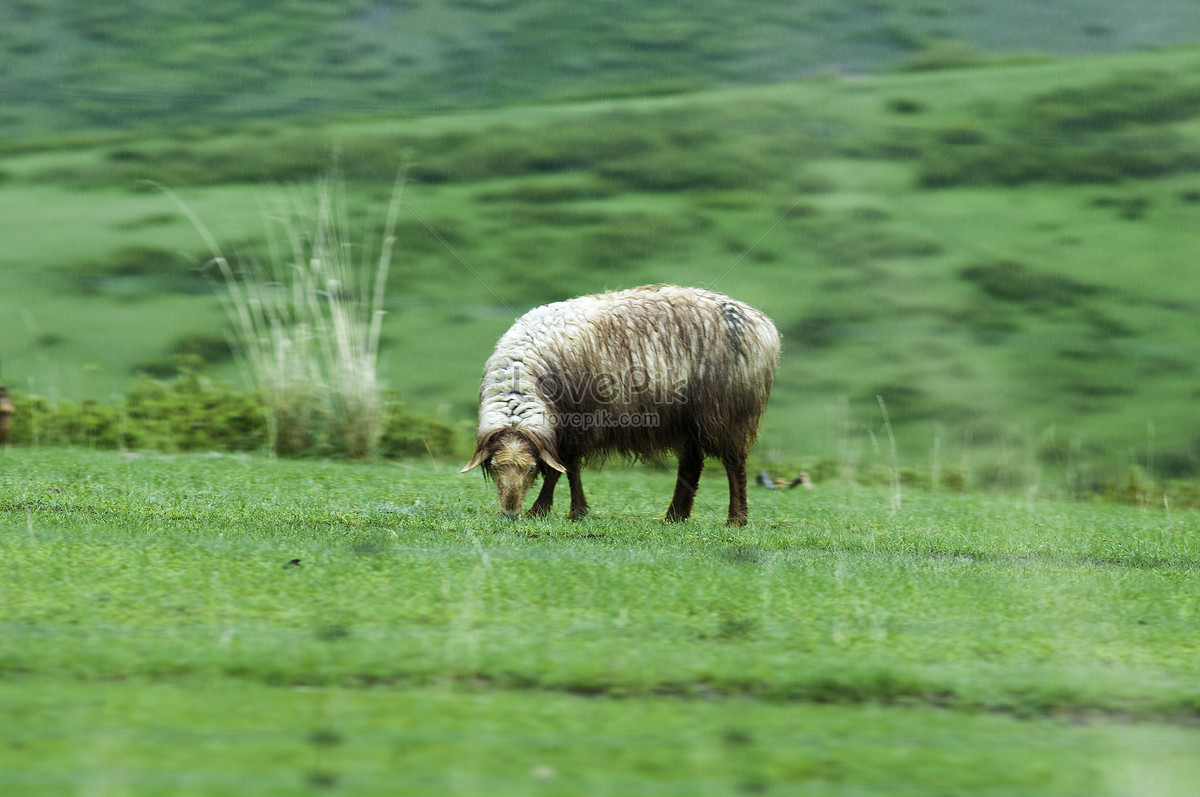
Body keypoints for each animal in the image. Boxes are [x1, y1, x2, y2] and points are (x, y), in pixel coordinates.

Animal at [458, 283, 777, 525]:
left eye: (529, 469)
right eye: (495, 468)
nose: (509, 514)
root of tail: (761, 323)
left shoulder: (575, 422)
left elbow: (561, 470)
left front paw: (545, 510)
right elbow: (569, 469)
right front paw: (573, 511)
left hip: (727, 411)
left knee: (735, 464)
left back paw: (736, 519)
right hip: (687, 419)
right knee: (691, 465)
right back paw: (675, 517)